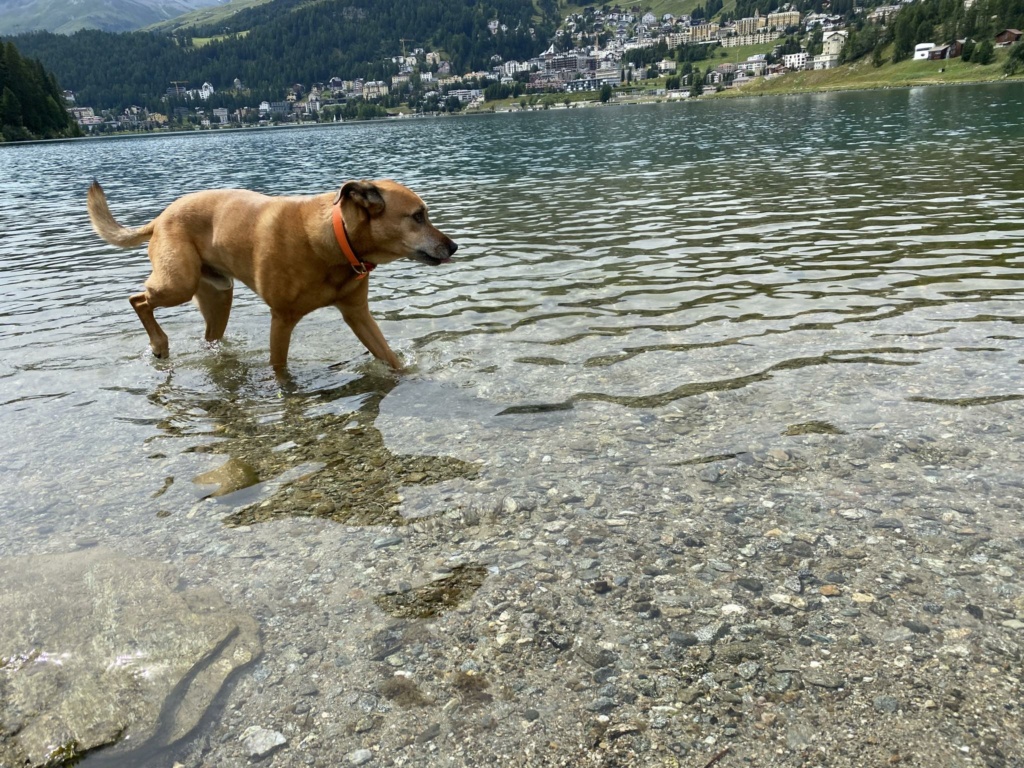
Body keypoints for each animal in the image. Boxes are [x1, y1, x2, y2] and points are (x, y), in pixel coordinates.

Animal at [88, 180, 456, 372]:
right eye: (418, 216)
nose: (452, 246)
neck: (333, 242)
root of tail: (160, 217)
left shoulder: (358, 314)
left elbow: (389, 357)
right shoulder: (282, 319)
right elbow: (279, 367)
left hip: (218, 297)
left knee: (209, 337)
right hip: (178, 282)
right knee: (138, 298)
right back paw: (159, 344)